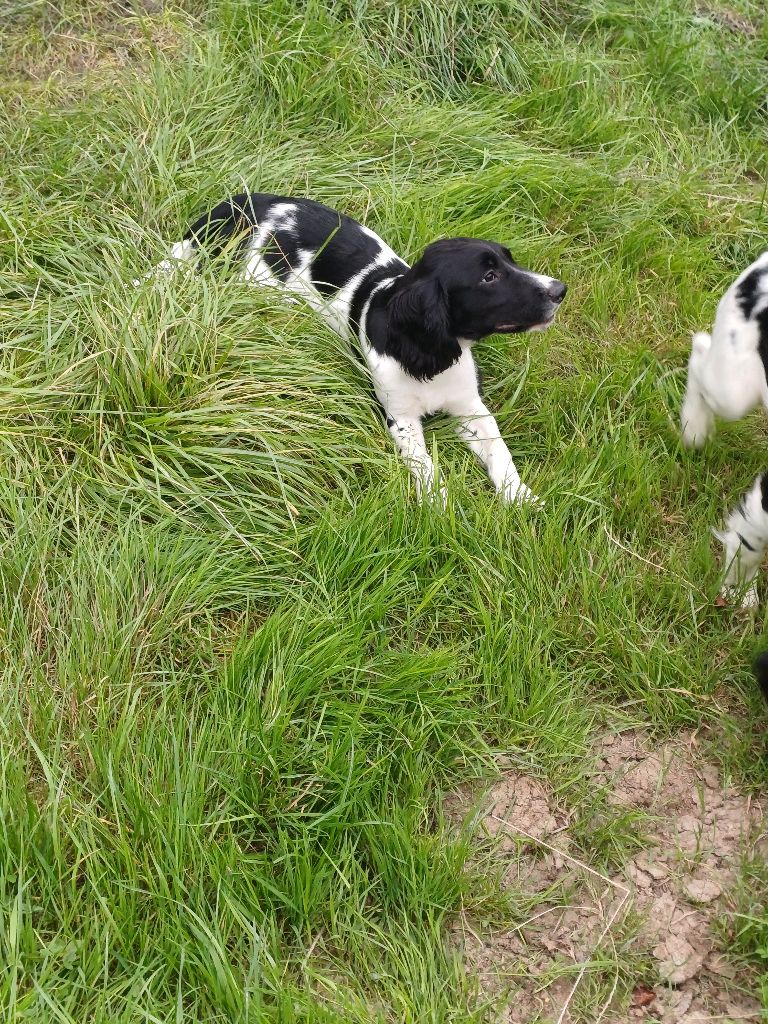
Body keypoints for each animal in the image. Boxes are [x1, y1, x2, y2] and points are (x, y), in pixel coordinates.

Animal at [154, 191, 565, 503]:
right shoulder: (401, 418)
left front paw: (520, 497)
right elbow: (424, 465)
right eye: (489, 276)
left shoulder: (469, 407)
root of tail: (242, 203)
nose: (560, 290)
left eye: (510, 260)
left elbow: (500, 451)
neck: (428, 353)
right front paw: (439, 504)